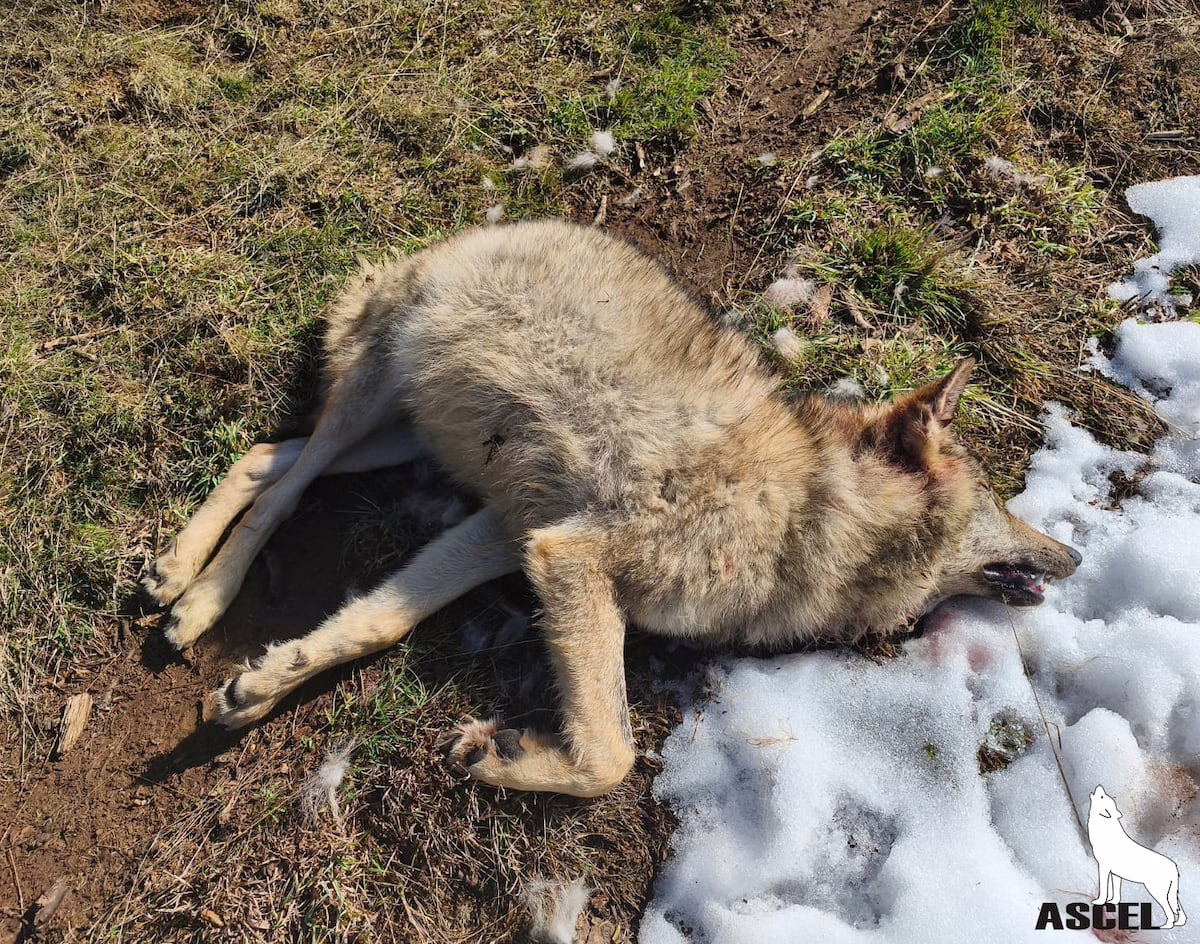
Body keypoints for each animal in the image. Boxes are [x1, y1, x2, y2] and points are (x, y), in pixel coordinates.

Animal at [144, 220, 1081, 797]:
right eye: (1000, 503)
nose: (1076, 557)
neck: (805, 513)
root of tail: (479, 232)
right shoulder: (570, 557)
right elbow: (612, 756)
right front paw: (502, 758)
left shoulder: (514, 533)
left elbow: (374, 623)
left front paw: (264, 684)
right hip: (374, 403)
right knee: (287, 482)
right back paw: (197, 598)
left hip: (404, 437)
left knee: (265, 458)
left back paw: (182, 579)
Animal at [1088, 786, 1186, 928]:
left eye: (1102, 796)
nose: (1099, 786)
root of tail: (1174, 867)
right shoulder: (1115, 874)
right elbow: (1115, 891)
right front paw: (1113, 902)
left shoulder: (1104, 868)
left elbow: (1104, 889)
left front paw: (1099, 902)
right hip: (1172, 894)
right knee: (1179, 910)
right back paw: (1179, 923)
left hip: (1157, 892)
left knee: (1170, 911)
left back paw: (1166, 926)